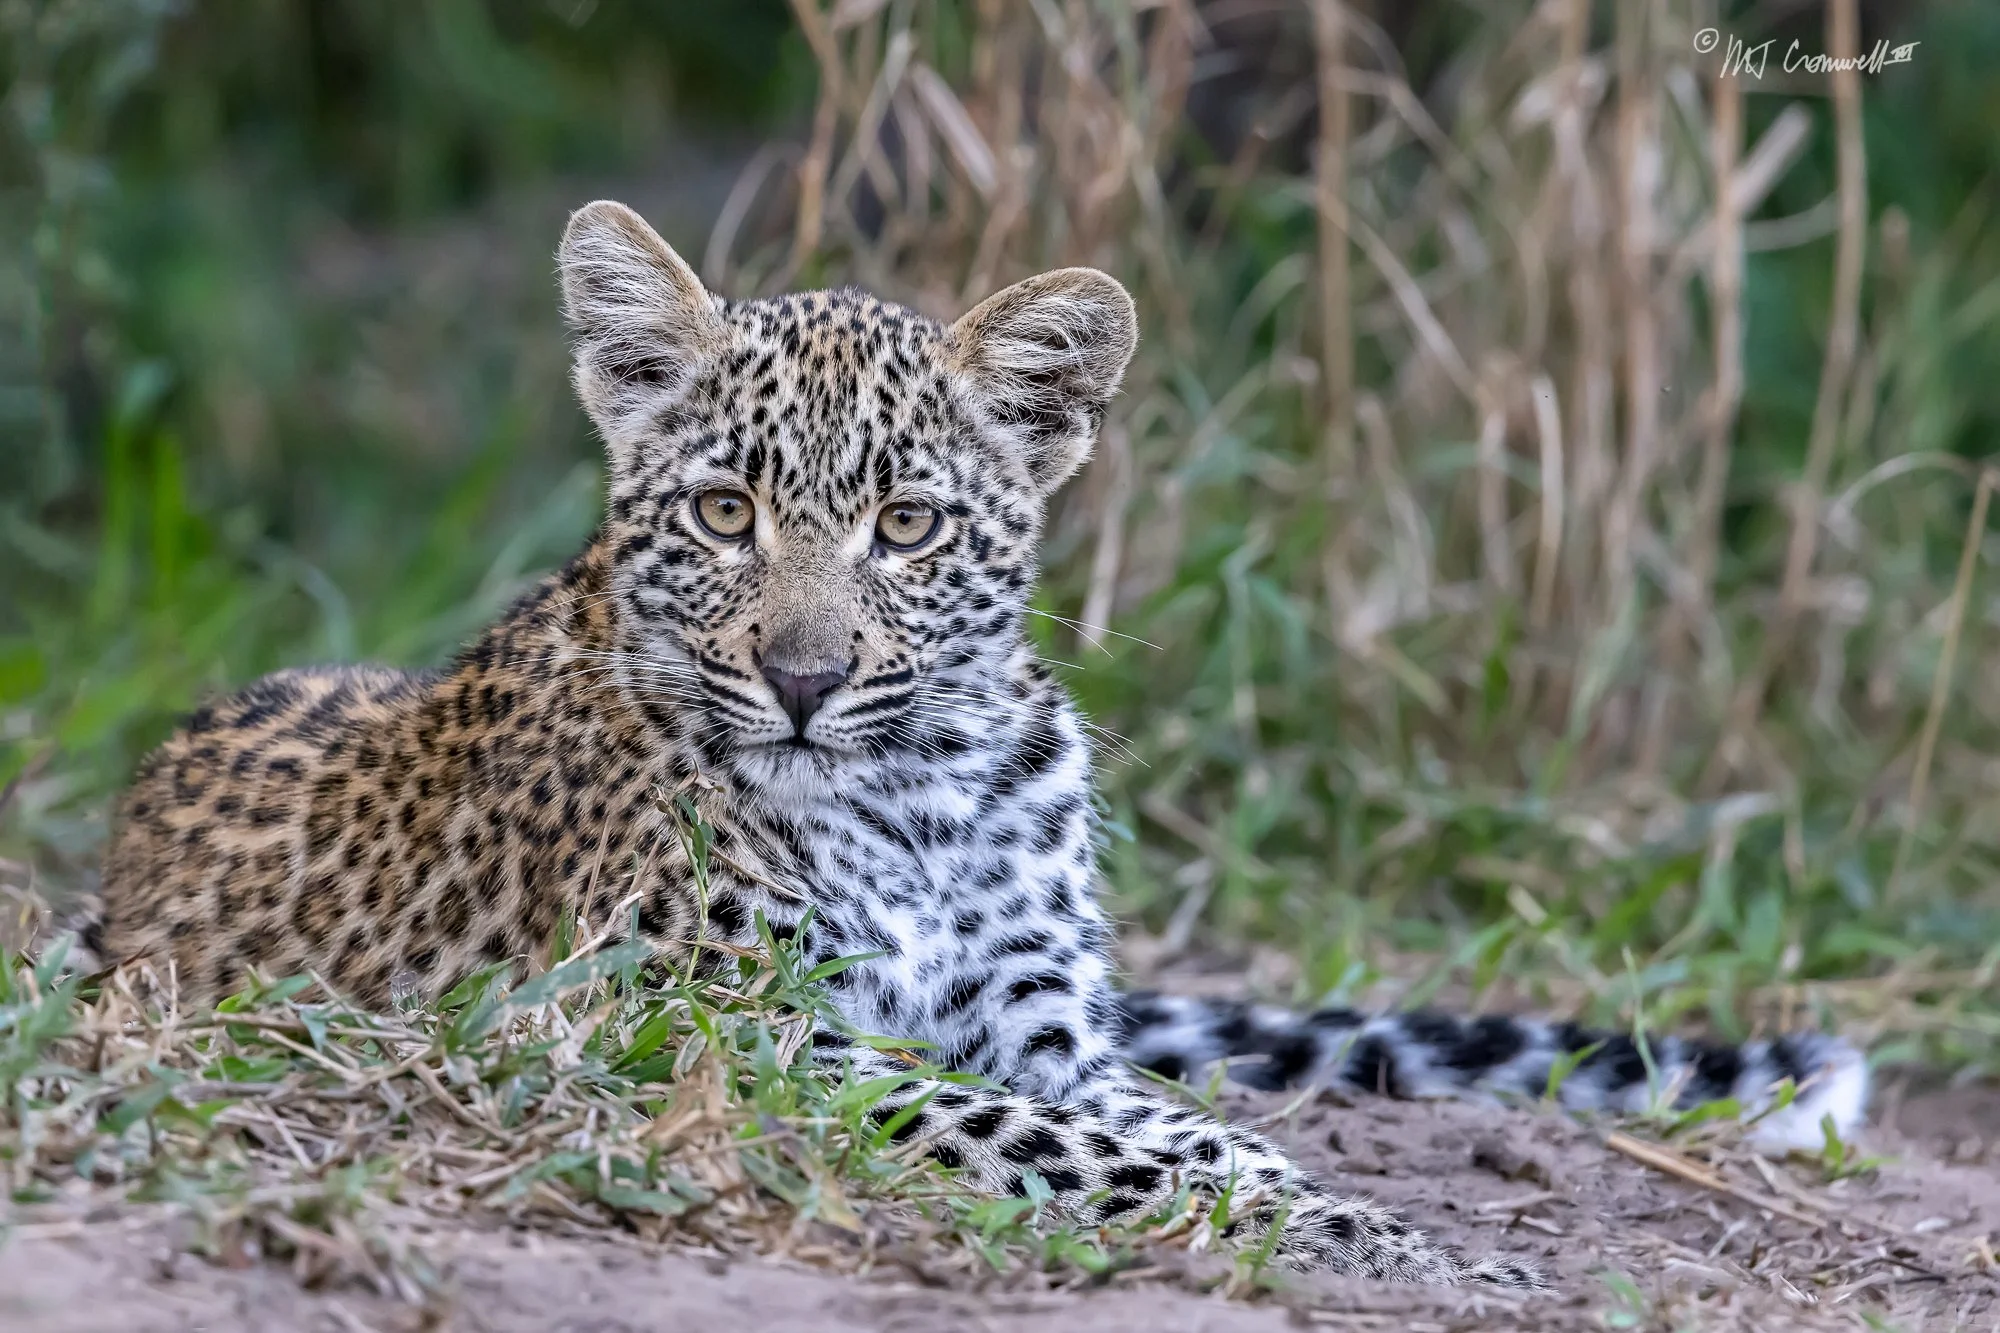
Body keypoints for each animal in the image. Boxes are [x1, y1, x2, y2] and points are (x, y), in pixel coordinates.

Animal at [89, 199, 1868, 1291]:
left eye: (906, 522)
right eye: (724, 513)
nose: (804, 678)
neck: (917, 790)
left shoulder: (1051, 1036)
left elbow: (1192, 1129)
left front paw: (1371, 1225)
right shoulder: (728, 1037)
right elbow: (1080, 1149)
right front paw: (1373, 1246)